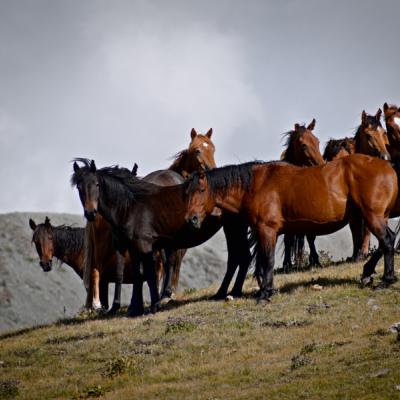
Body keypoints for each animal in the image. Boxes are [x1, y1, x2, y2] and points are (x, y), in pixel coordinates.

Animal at [186, 155, 398, 302]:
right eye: (187, 192)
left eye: (202, 190)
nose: (192, 219)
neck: (256, 185)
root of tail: (388, 167)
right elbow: (263, 262)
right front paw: (265, 290)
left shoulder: (267, 230)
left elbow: (268, 260)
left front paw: (265, 293)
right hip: (380, 216)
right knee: (388, 240)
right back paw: (368, 273)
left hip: (373, 216)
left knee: (387, 240)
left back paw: (386, 280)